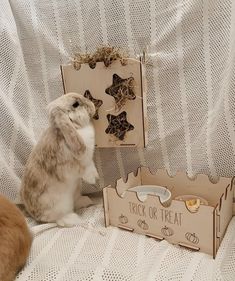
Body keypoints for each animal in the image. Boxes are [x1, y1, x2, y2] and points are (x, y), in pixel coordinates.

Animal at [19, 93, 98, 226]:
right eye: (75, 104)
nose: (92, 106)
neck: (76, 127)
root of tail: (33, 214)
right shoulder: (79, 163)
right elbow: (86, 169)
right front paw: (93, 179)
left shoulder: (88, 159)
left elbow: (91, 164)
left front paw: (96, 177)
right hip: (58, 206)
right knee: (57, 219)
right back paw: (73, 219)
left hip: (75, 190)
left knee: (76, 201)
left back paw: (87, 201)